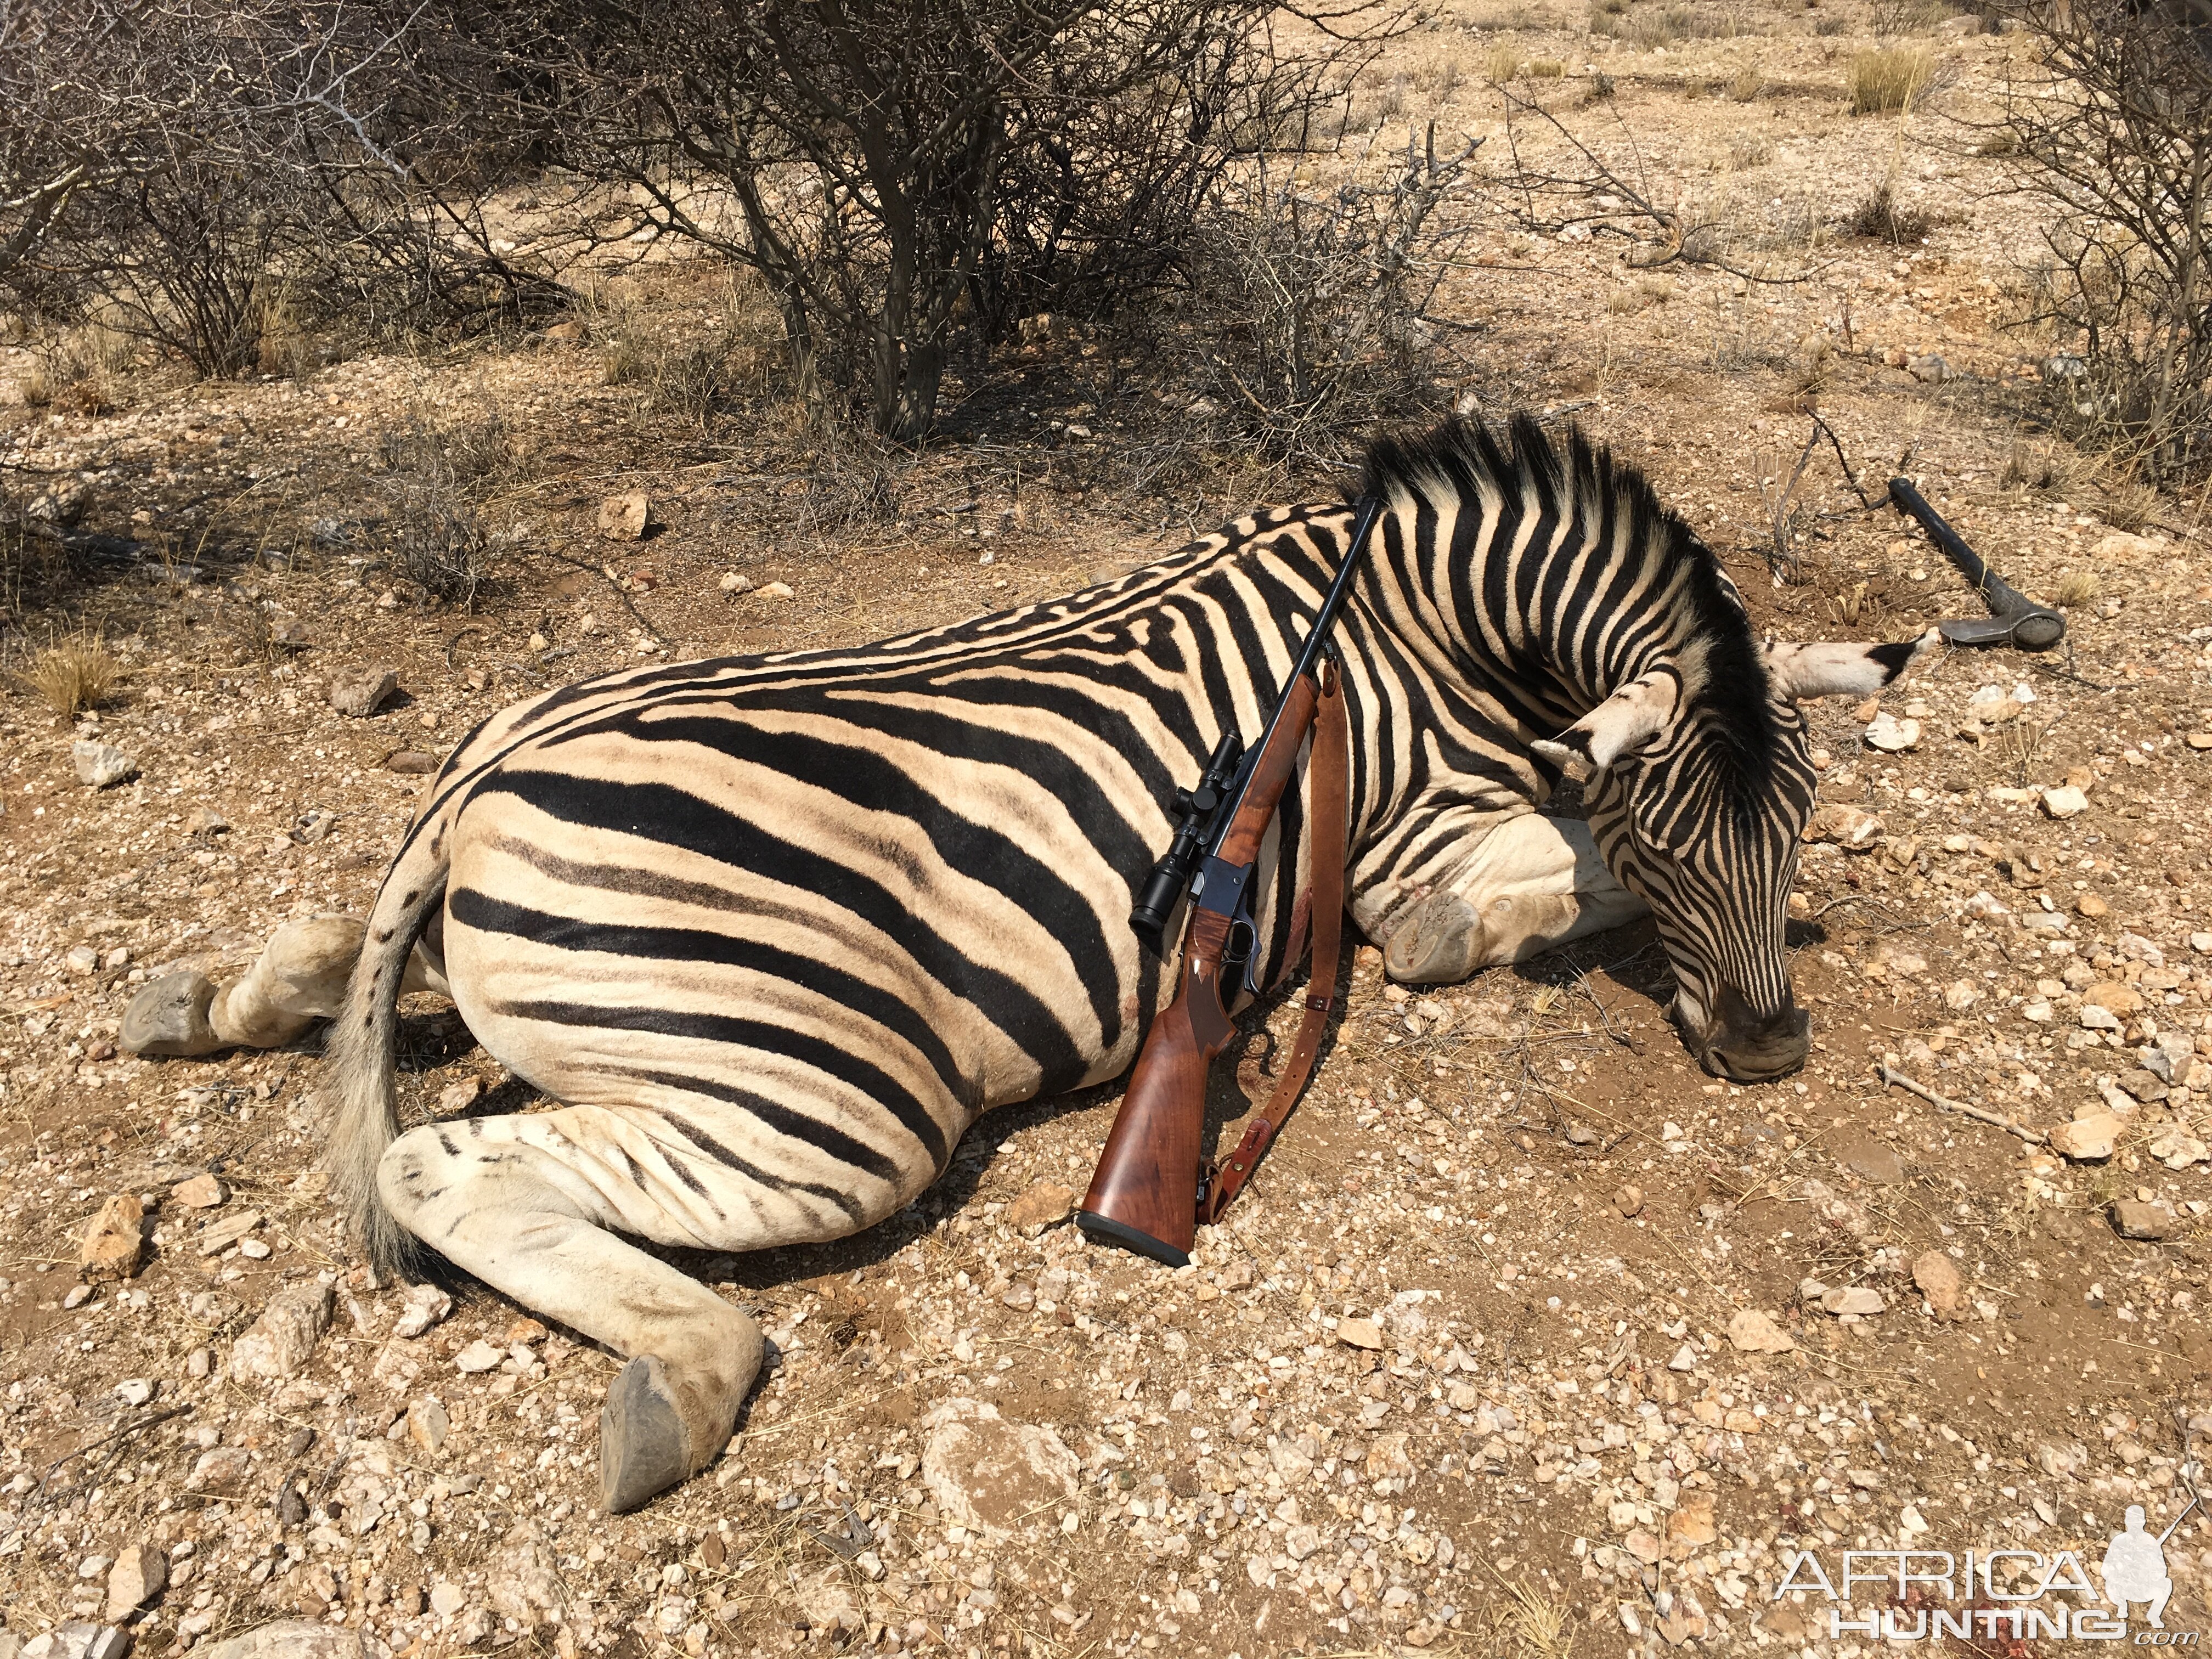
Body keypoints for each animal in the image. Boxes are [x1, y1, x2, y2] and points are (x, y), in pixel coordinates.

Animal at [185, 413, 1938, 1504]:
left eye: (1801, 825)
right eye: (1675, 840)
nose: (1775, 1052)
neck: (1429, 623)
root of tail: (484, 786)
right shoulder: (1414, 866)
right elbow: (1532, 894)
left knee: (365, 975)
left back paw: (214, 996)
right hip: (840, 1107)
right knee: (448, 1172)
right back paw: (681, 1384)